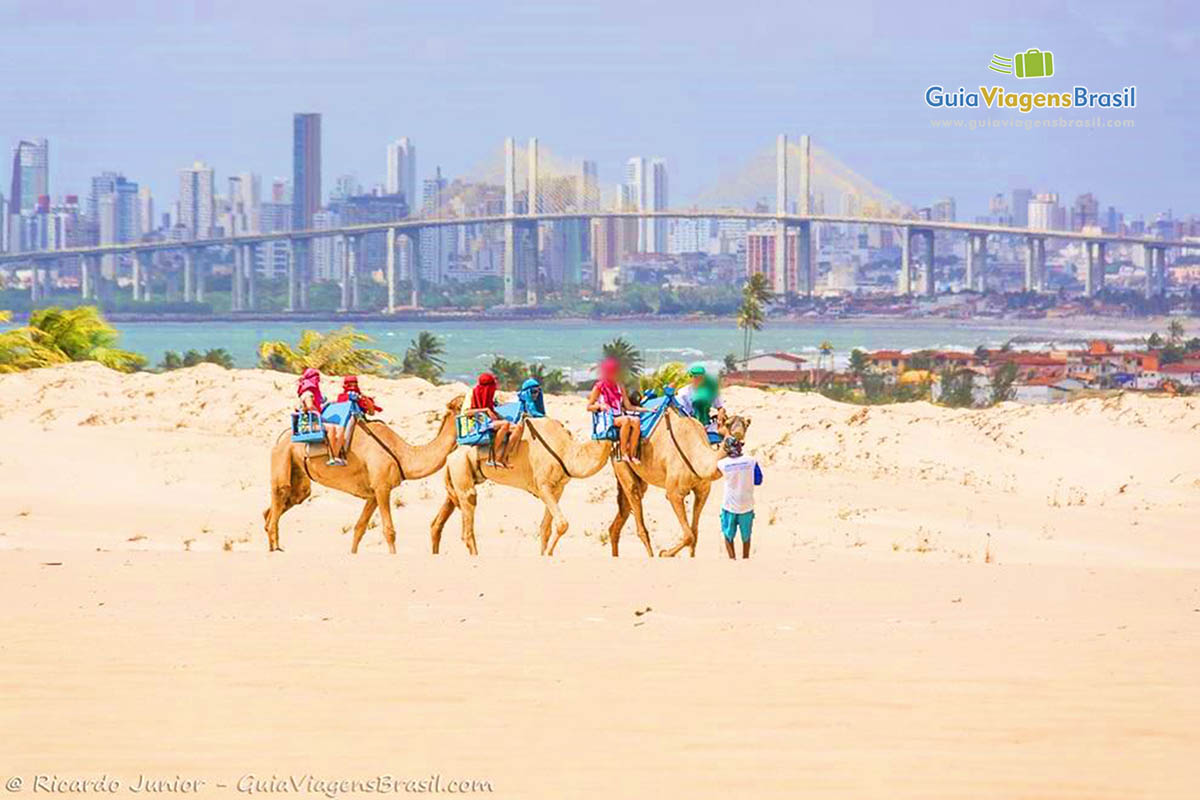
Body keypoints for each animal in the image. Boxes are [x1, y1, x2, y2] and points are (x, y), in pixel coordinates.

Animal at [262, 395, 463, 556]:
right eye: (461, 403)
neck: (403, 455)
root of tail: (280, 439)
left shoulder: (373, 493)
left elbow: (359, 528)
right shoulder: (382, 487)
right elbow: (389, 530)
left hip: (298, 477)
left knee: (277, 508)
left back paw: (273, 547)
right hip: (282, 458)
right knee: (278, 499)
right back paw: (275, 550)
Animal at [432, 419, 609, 556]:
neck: (567, 452)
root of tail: (451, 455)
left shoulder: (558, 489)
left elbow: (546, 528)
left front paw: (545, 556)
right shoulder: (543, 485)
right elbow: (562, 524)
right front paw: (549, 554)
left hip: (459, 475)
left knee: (442, 517)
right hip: (461, 466)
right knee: (469, 509)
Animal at [609, 410, 748, 561]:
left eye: (746, 425)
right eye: (727, 424)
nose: (738, 442)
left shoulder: (703, 491)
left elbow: (695, 534)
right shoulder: (674, 493)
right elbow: (689, 536)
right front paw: (663, 553)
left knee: (619, 518)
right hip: (620, 460)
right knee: (635, 503)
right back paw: (651, 555)